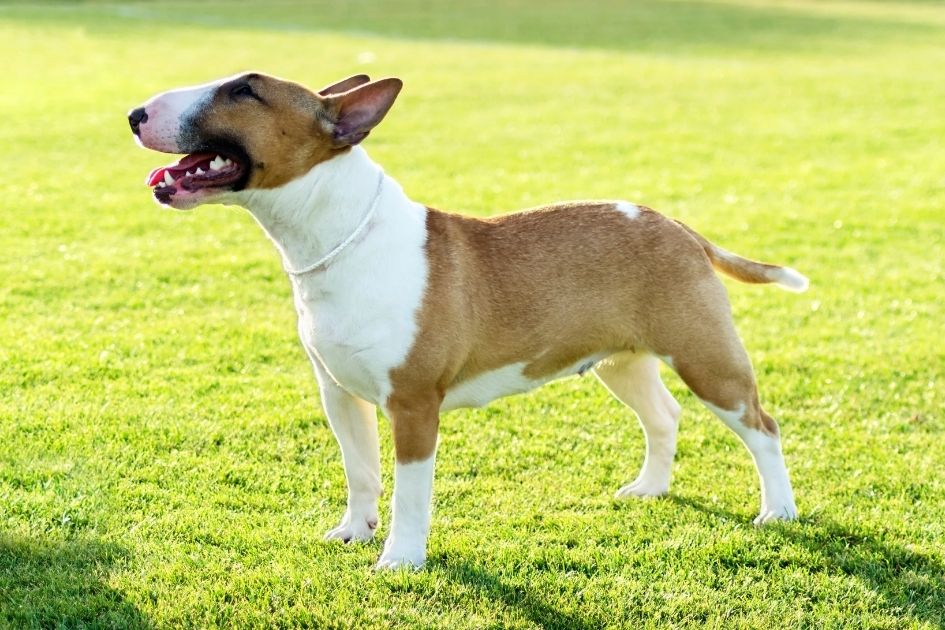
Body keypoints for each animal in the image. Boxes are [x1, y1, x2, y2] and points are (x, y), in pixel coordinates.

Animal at [127, 71, 804, 572]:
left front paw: (399, 560)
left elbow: (411, 492)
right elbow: (360, 471)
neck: (338, 235)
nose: (135, 114)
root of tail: (679, 227)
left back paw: (778, 512)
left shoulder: (413, 404)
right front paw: (353, 531)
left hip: (705, 357)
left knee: (763, 427)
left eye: (245, 91)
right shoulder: (339, 392)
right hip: (622, 360)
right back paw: (650, 489)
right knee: (664, 415)